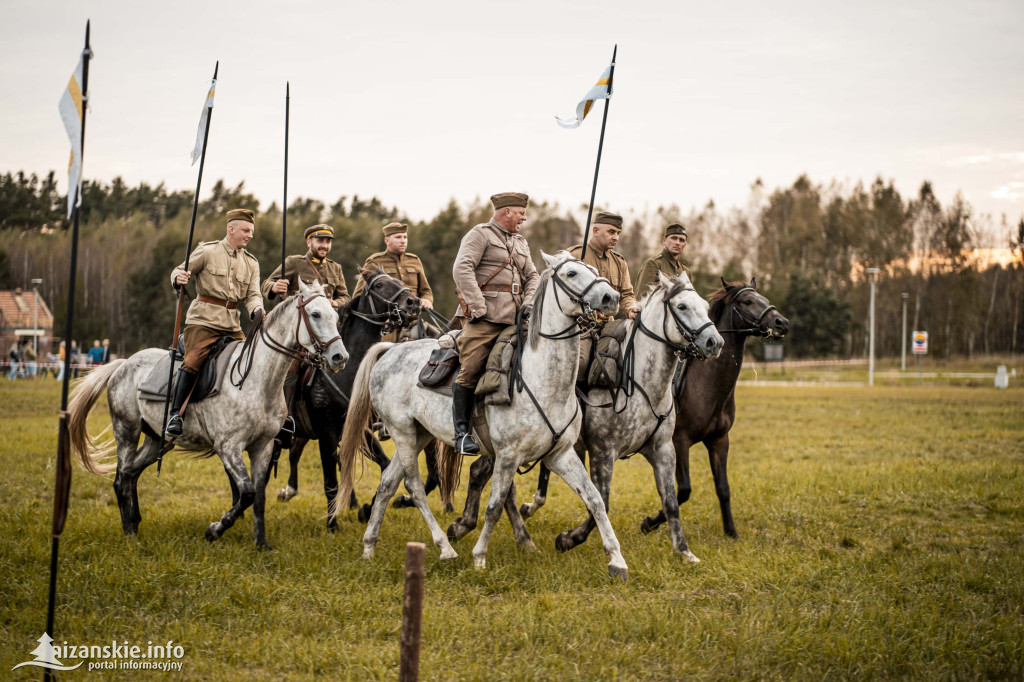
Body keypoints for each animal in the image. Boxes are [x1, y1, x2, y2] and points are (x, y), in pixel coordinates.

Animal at [69, 278, 348, 548]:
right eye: (315, 314)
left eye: (335, 316)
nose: (339, 357)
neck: (256, 381)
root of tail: (123, 363)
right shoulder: (228, 447)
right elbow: (246, 493)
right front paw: (215, 529)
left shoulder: (264, 446)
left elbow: (258, 496)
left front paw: (261, 544)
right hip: (126, 431)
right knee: (121, 477)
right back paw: (129, 534)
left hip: (156, 440)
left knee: (131, 473)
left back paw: (135, 523)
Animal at [335, 250, 630, 577]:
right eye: (571, 274)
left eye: (590, 268)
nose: (611, 297)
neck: (542, 379)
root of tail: (390, 350)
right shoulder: (507, 456)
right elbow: (495, 506)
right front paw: (479, 557)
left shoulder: (561, 455)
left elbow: (595, 499)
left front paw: (616, 559)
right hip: (403, 433)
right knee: (414, 487)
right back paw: (445, 548)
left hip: (418, 435)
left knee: (387, 484)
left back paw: (369, 547)